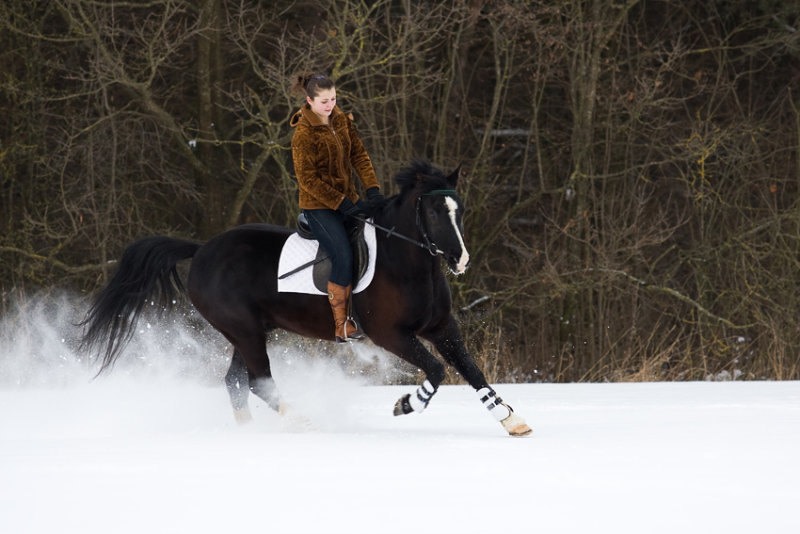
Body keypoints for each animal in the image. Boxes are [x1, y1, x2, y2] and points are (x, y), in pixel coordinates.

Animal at [81, 161, 532, 438]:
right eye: (436, 212)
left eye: (461, 210)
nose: (460, 260)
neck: (407, 263)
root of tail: (203, 249)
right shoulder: (390, 335)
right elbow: (438, 370)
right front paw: (406, 404)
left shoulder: (441, 327)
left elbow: (471, 370)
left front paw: (512, 421)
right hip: (245, 330)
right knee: (259, 382)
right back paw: (305, 424)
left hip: (248, 332)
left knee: (236, 383)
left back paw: (252, 431)